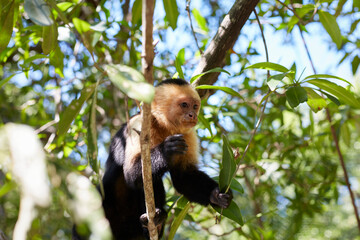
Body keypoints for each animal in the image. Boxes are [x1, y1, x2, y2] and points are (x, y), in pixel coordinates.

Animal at [73, 79, 232, 240]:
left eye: (195, 106)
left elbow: (183, 177)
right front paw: (166, 150)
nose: (192, 115)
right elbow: (131, 174)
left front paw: (216, 195)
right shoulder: (138, 125)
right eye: (184, 105)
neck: (165, 126)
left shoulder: (188, 134)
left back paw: (156, 223)